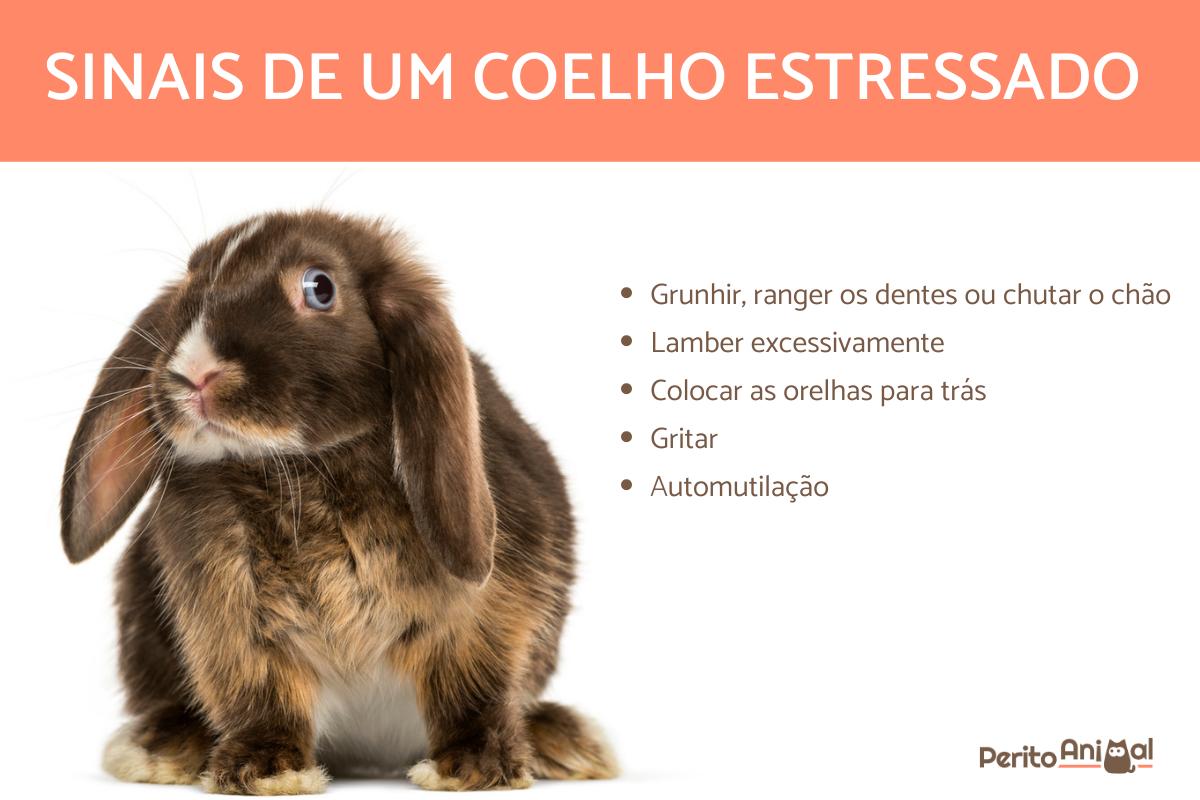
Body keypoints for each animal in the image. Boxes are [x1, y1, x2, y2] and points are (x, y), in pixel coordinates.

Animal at [60, 210, 617, 795]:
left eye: (319, 288)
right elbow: (260, 694)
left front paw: (473, 767)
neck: (306, 468)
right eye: (191, 283)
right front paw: (265, 770)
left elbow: (471, 686)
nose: (194, 374)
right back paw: (160, 747)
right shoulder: (230, 617)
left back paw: (565, 740)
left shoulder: (486, 611)